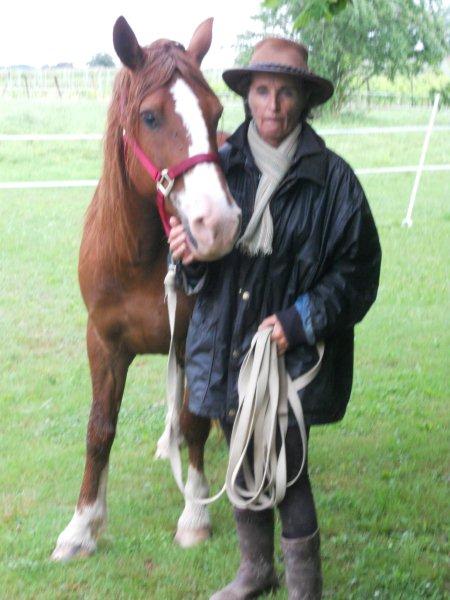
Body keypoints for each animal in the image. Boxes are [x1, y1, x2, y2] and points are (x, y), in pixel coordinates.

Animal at [51, 16, 241, 561]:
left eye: (216, 110)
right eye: (151, 117)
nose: (218, 223)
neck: (136, 255)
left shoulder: (192, 335)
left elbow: (195, 419)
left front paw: (195, 513)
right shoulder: (103, 342)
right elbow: (99, 429)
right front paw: (82, 526)